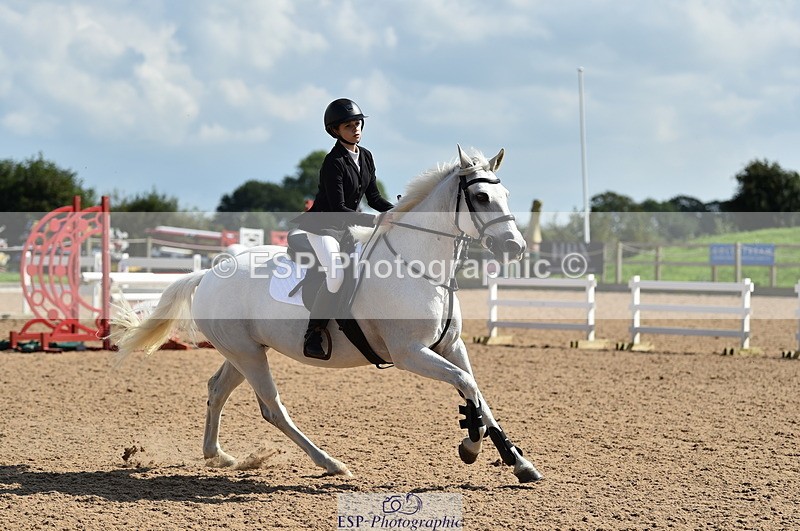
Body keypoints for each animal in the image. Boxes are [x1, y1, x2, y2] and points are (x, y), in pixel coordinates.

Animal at [111, 145, 544, 484]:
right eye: (483, 198)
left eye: (505, 192)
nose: (515, 248)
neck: (419, 266)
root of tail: (208, 274)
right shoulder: (410, 353)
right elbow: (467, 387)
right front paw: (470, 444)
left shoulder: (450, 347)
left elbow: (478, 394)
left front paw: (519, 462)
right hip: (248, 355)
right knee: (273, 408)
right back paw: (330, 463)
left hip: (244, 351)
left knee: (217, 389)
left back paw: (217, 455)